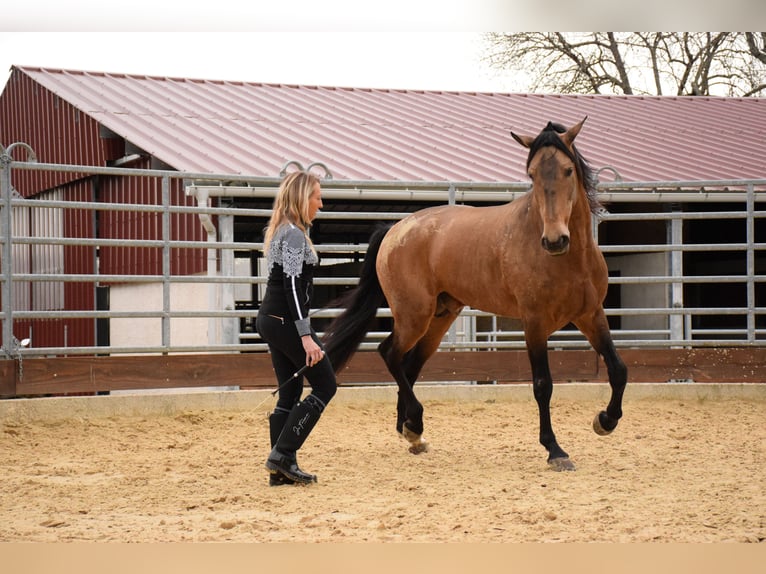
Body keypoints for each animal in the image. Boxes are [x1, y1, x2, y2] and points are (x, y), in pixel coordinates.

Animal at [322, 118, 627, 471]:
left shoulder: (591, 315)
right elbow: (543, 385)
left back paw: (412, 432)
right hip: (414, 315)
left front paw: (605, 421)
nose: (554, 240)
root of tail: (395, 230)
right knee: (389, 354)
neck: (569, 260)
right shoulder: (534, 323)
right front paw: (555, 450)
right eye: (532, 174)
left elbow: (618, 370)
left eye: (567, 170)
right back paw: (415, 423)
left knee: (409, 364)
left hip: (440, 318)